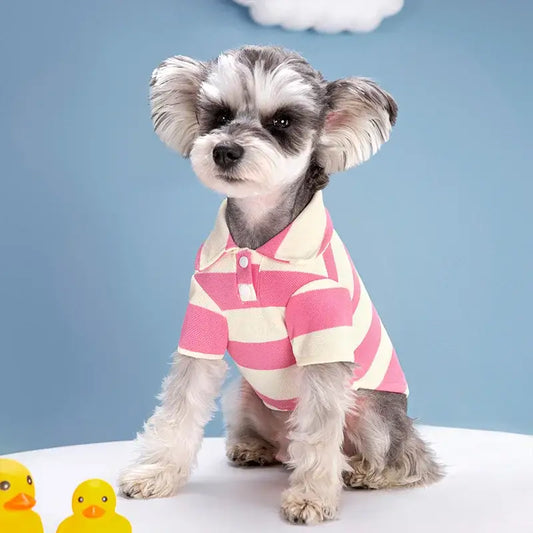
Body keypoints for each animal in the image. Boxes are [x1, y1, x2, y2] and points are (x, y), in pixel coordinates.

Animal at [119, 44, 440, 524]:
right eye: (219, 115)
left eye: (283, 122)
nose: (225, 150)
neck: (256, 240)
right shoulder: (202, 329)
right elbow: (180, 405)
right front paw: (156, 473)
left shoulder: (323, 337)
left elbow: (321, 430)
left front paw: (311, 497)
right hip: (243, 394)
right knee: (279, 442)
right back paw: (253, 448)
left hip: (371, 411)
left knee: (408, 457)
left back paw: (369, 472)